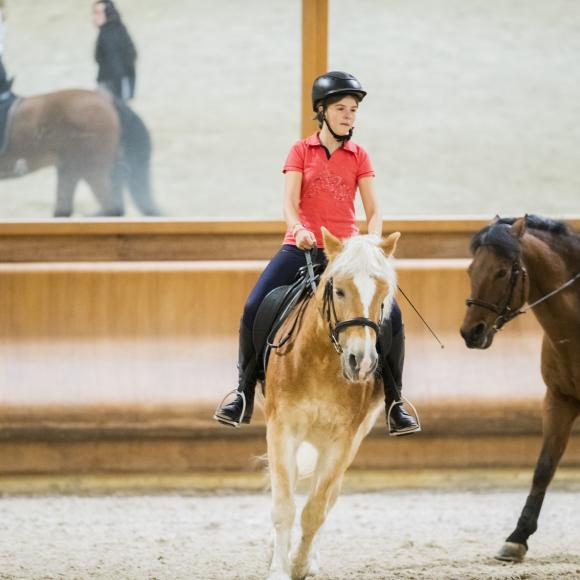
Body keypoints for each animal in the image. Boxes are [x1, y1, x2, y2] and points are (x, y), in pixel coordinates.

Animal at [266, 228, 402, 580]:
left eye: (384, 294)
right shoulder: (282, 429)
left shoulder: (342, 440)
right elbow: (283, 504)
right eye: (338, 290)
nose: (362, 362)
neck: (321, 362)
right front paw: (278, 568)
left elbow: (316, 509)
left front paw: (300, 564)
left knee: (328, 498)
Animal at [462, 216, 580, 560]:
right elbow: (544, 467)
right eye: (471, 269)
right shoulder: (559, 399)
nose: (471, 332)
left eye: (501, 272)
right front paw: (517, 537)